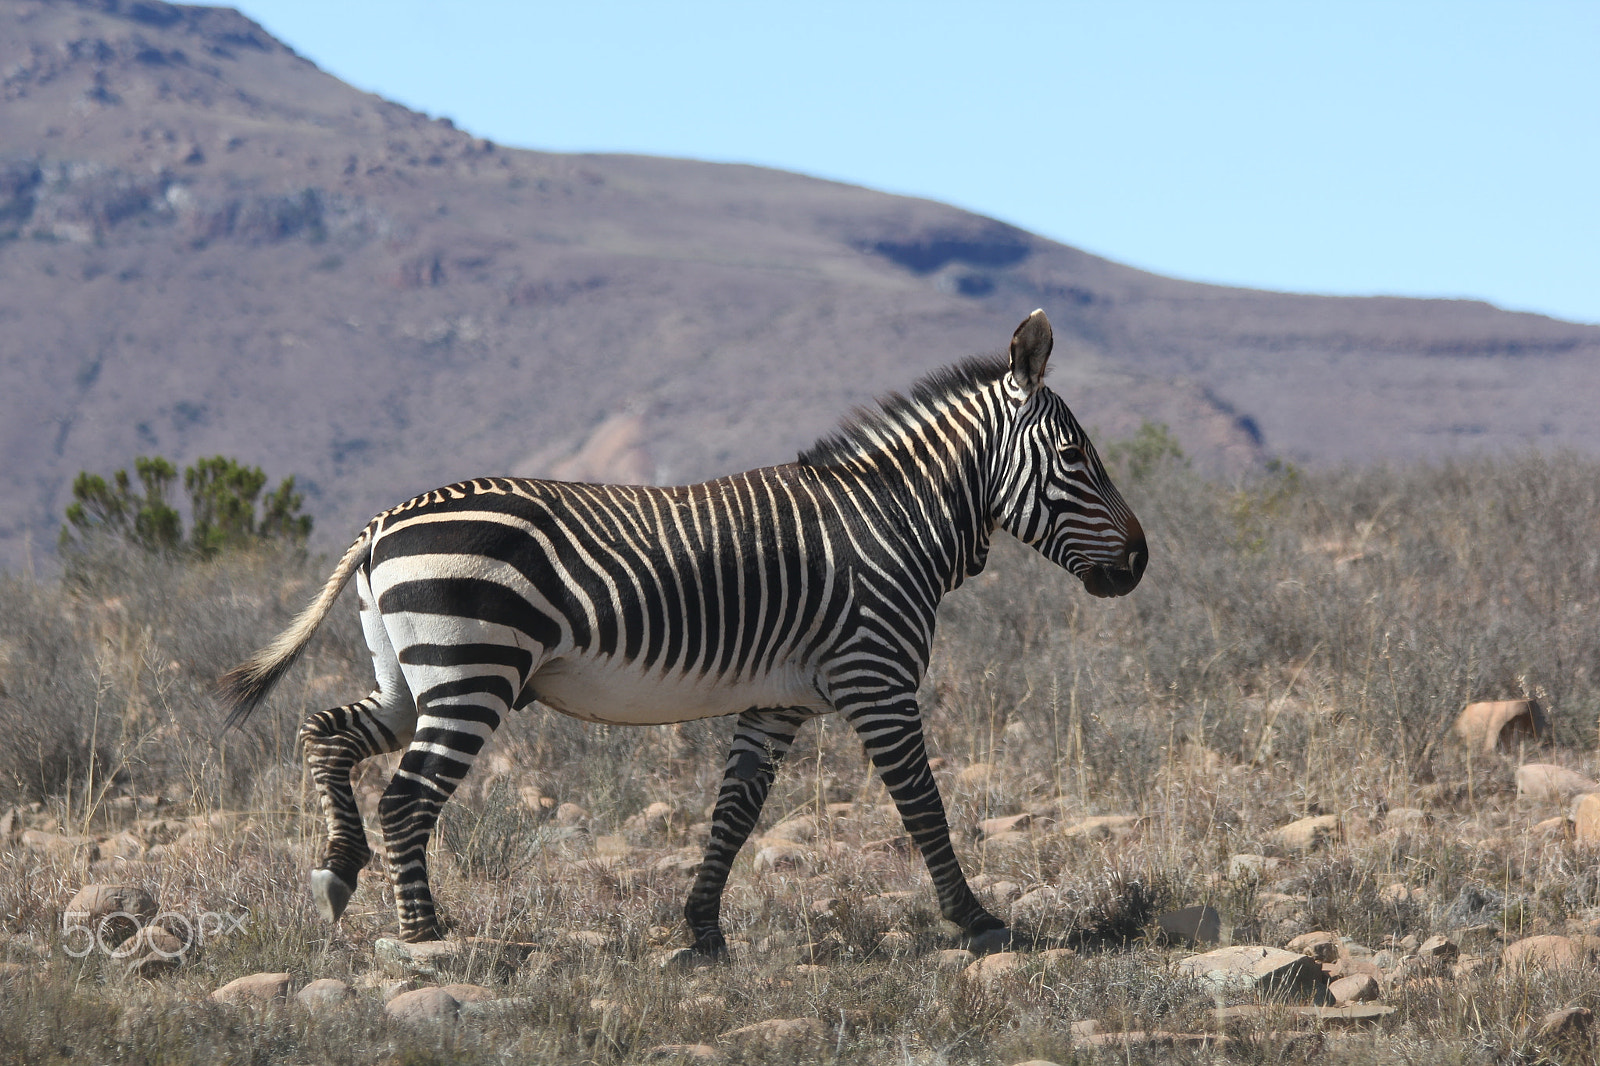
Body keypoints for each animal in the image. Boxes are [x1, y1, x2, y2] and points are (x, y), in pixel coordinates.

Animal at [219, 308, 1146, 952]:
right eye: (1075, 457)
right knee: (407, 798)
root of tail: (382, 522)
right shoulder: (876, 679)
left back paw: (337, 872)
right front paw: (975, 920)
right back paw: (423, 935)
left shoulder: (779, 701)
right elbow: (923, 805)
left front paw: (700, 932)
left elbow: (733, 814)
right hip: (471, 670)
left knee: (328, 732)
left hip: (417, 674)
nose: (1139, 561)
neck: (895, 521)